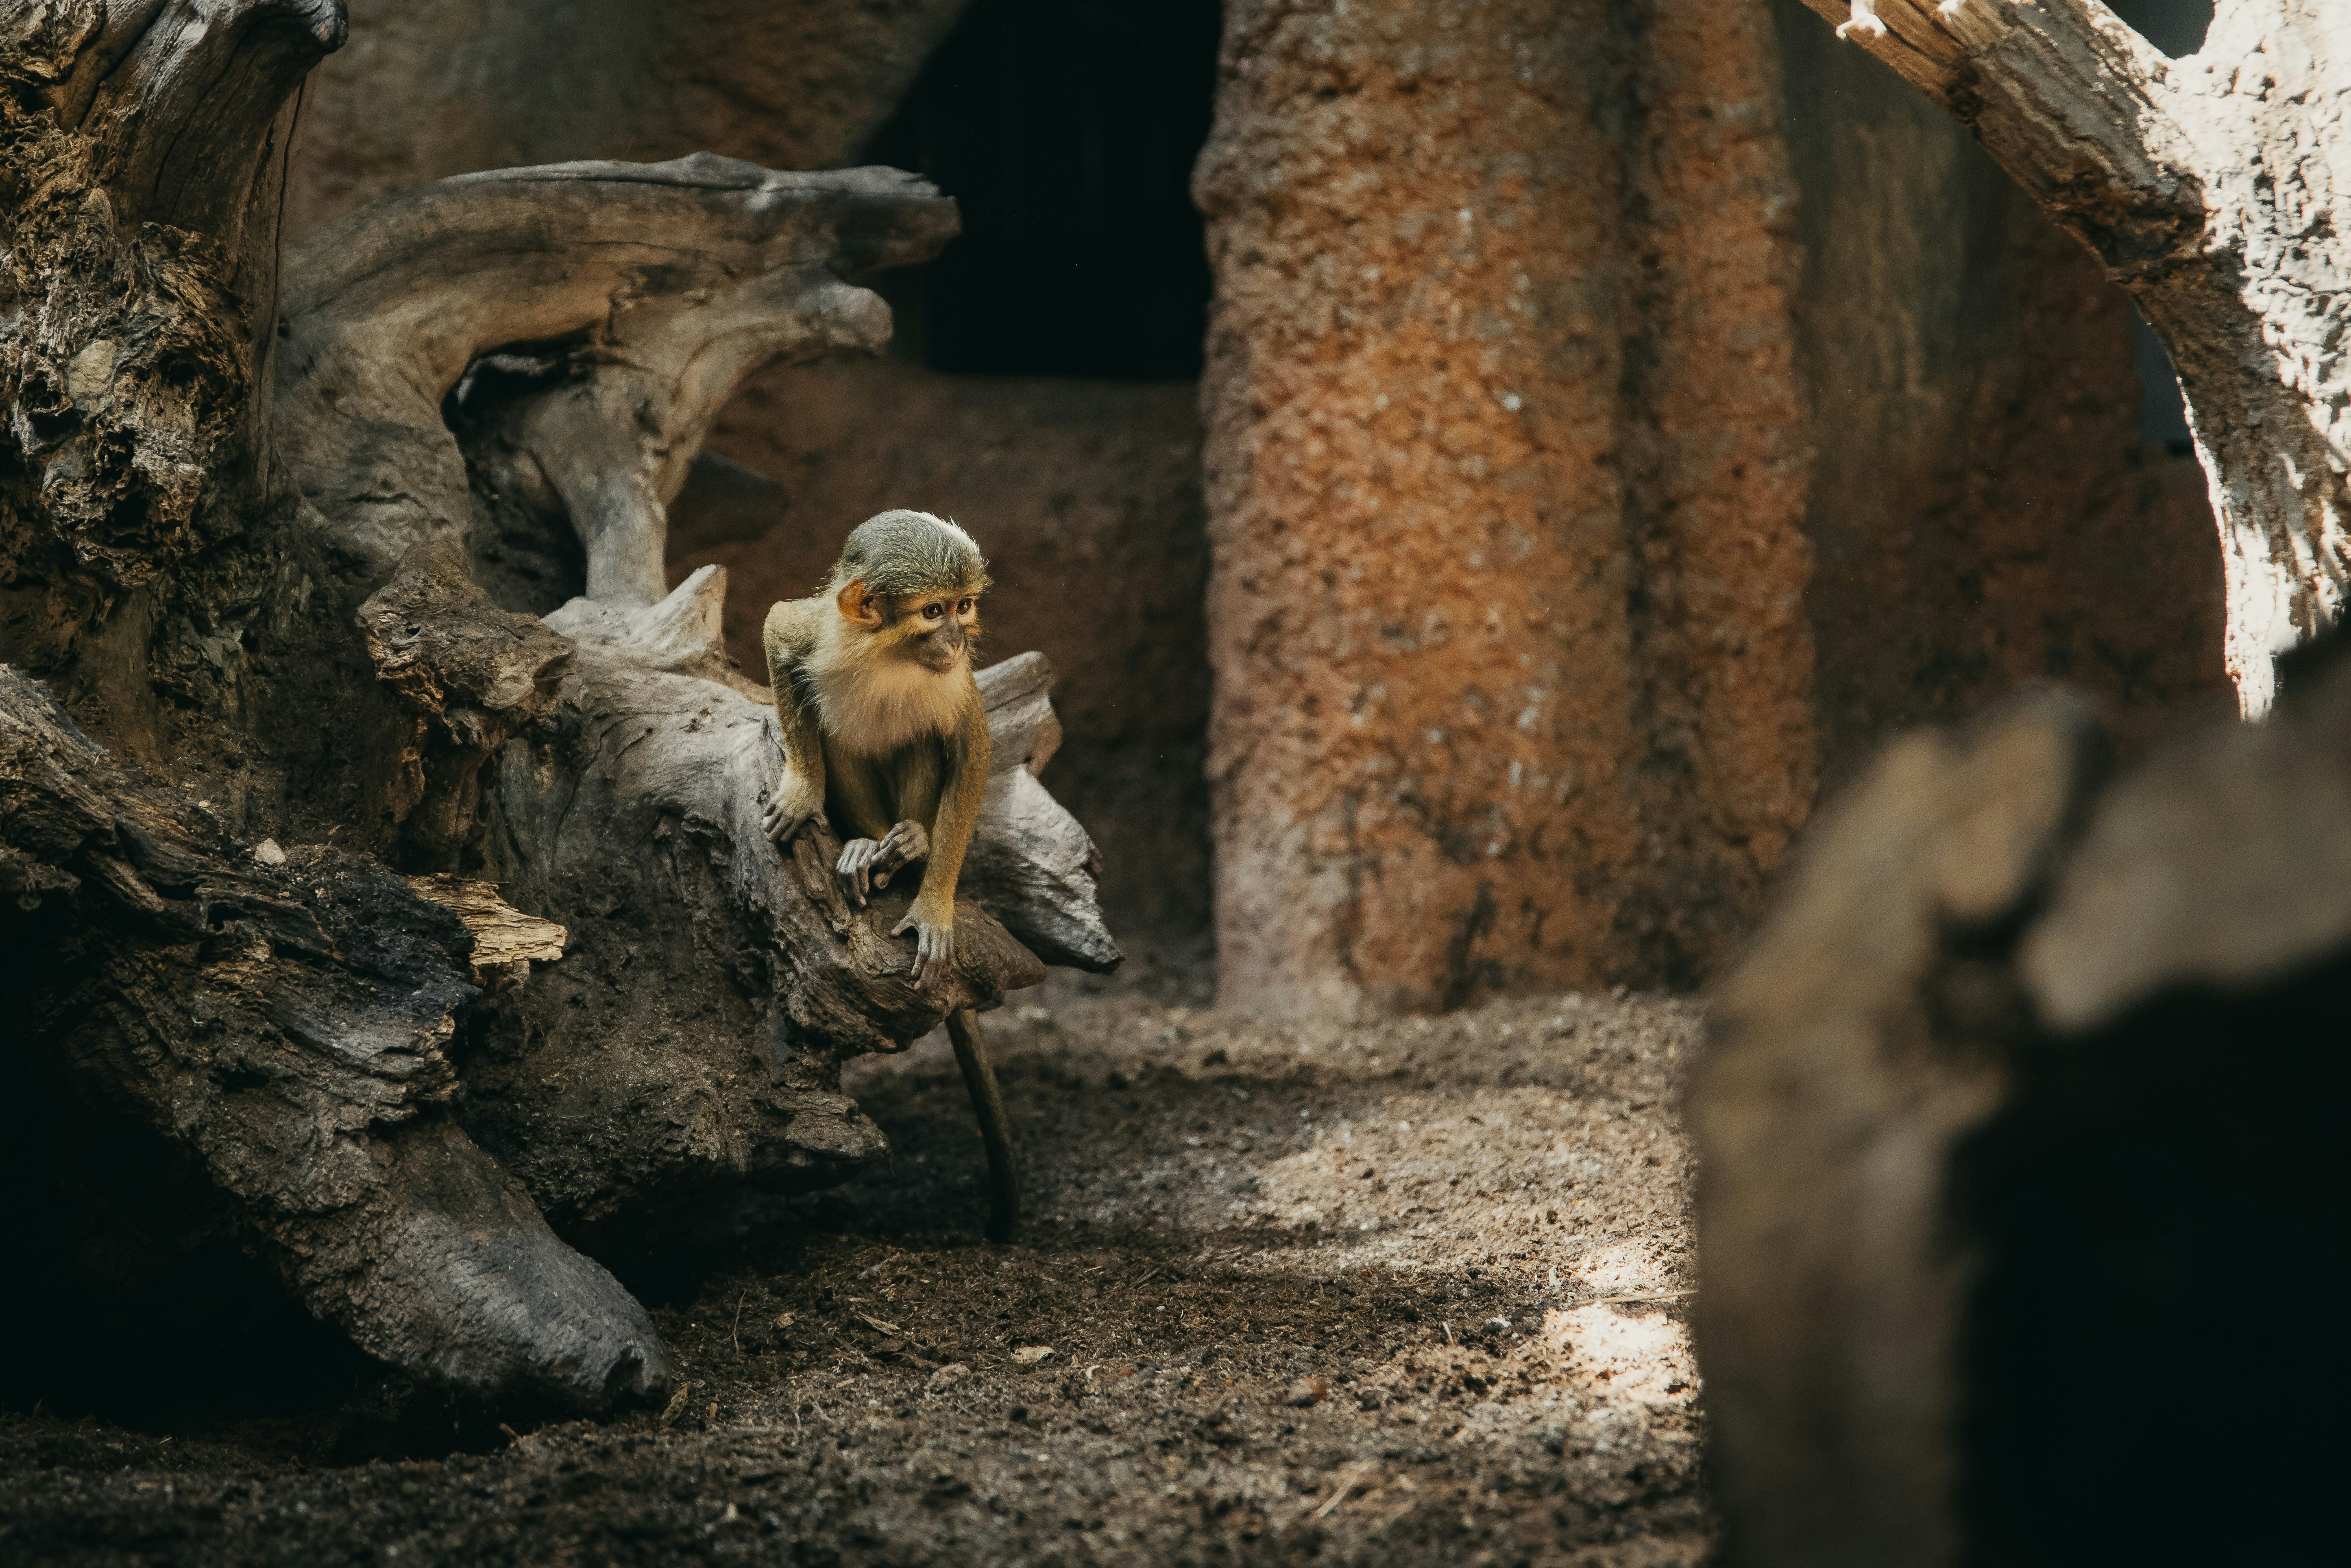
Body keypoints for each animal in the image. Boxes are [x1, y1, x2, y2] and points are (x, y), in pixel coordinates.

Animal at [759, 508, 1019, 1240]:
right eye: (933, 611)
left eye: (964, 607)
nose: (957, 638)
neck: (891, 655)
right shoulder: (818, 631)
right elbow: (777, 630)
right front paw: (802, 786)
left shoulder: (955, 685)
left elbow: (971, 745)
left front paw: (932, 907)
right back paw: (866, 846)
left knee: (921, 741)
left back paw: (908, 847)